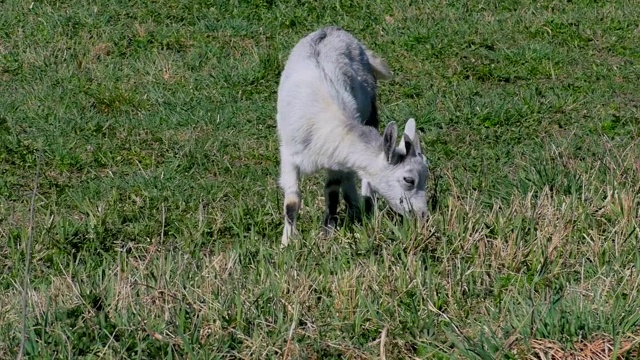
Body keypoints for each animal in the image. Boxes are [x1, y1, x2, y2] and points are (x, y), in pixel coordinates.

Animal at [278, 26, 428, 248]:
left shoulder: (334, 158)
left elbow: (332, 192)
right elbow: (292, 201)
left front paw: (328, 233)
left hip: (371, 108)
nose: (423, 215)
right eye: (409, 180)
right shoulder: (289, 155)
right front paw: (287, 243)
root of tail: (333, 29)